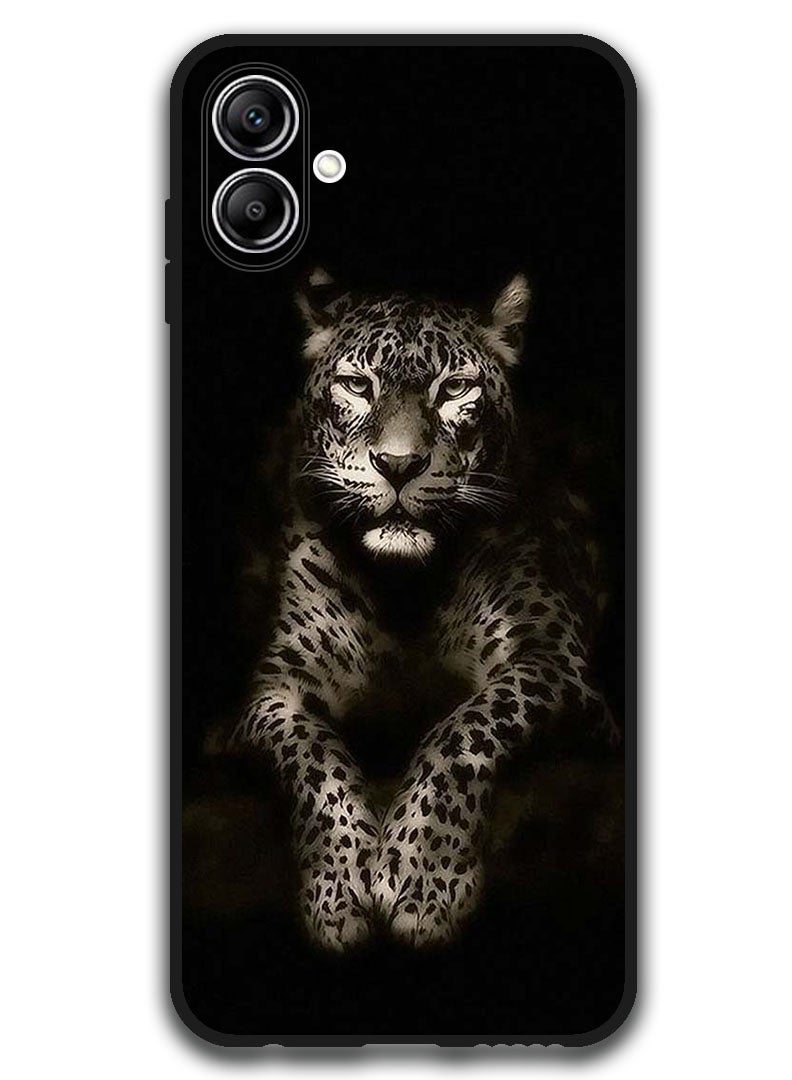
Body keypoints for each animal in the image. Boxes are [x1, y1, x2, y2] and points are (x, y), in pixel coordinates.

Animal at [225, 267, 619, 952]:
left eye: (454, 388)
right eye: (358, 385)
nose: (399, 464)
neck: (404, 590)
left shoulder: (552, 659)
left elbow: (464, 727)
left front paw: (422, 875)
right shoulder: (273, 689)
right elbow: (312, 755)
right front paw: (339, 888)